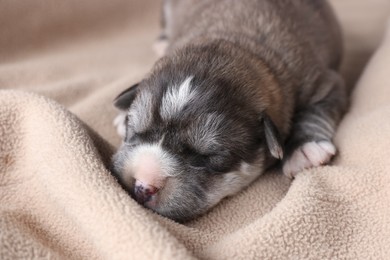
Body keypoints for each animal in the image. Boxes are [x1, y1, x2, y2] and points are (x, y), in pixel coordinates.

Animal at [111, 0, 346, 222]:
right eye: (135, 131)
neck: (239, 42)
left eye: (207, 156)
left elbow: (314, 112)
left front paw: (303, 149)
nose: (142, 186)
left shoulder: (324, 83)